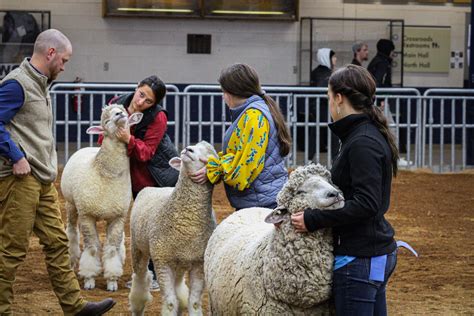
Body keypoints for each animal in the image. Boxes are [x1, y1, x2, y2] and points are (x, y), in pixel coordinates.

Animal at [130, 141, 218, 316]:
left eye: (210, 155)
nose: (188, 149)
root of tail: (153, 188)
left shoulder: (198, 263)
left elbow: (194, 303)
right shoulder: (162, 260)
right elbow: (170, 303)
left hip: (179, 261)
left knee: (178, 286)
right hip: (138, 248)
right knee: (140, 278)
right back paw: (137, 306)